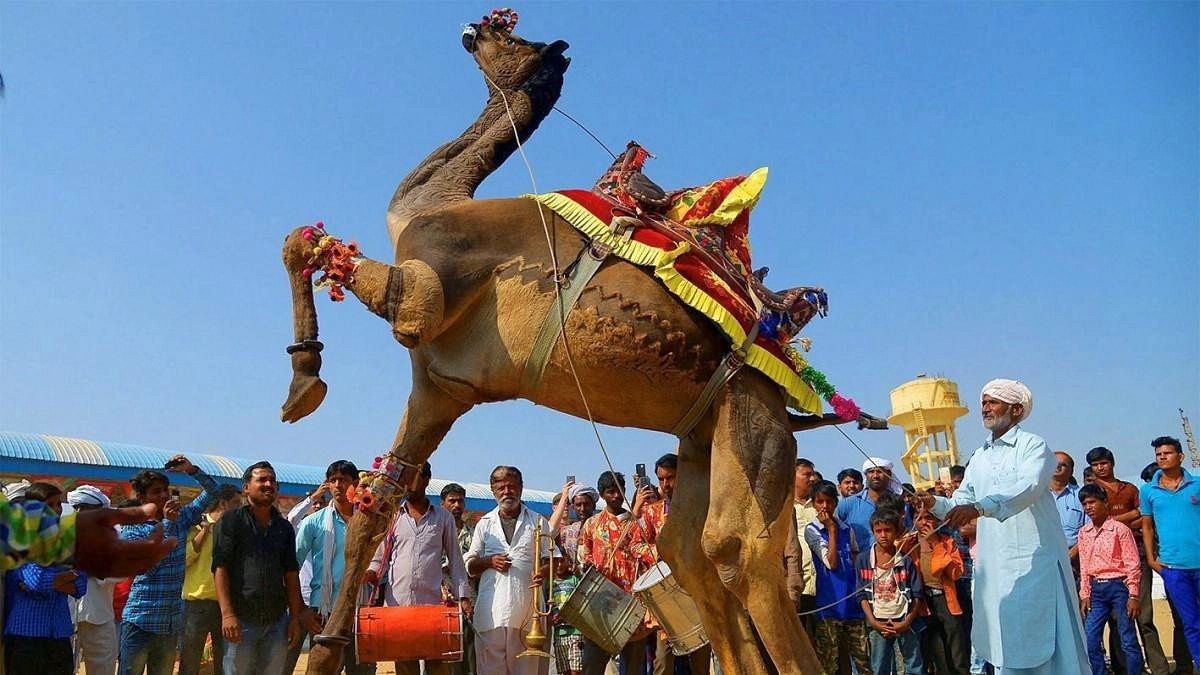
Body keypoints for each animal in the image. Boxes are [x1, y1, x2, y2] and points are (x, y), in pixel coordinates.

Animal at [283, 11, 873, 672]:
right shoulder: (438, 387)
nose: (470, 27)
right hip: (706, 432)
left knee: (738, 548)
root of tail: (797, 404)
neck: (432, 207)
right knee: (691, 551)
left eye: (508, 36)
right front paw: (327, 648)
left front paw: (304, 383)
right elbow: (378, 500)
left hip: (755, 421)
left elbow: (306, 243)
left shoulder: (422, 297)